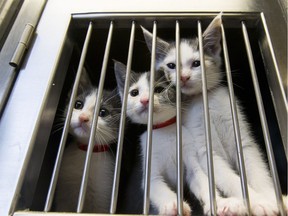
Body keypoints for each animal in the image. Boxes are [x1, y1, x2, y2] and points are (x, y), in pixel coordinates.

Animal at [141, 14, 286, 215]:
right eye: (171, 66)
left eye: (196, 63)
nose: (184, 77)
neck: (205, 100)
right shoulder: (204, 149)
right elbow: (233, 180)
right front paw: (259, 202)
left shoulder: (242, 138)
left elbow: (257, 169)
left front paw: (273, 198)